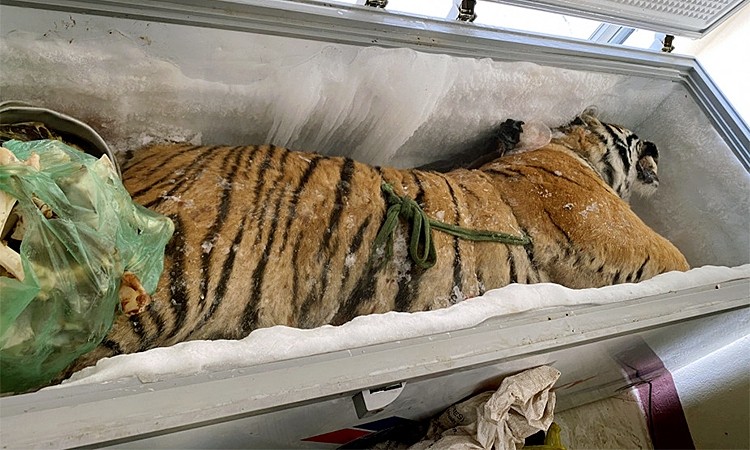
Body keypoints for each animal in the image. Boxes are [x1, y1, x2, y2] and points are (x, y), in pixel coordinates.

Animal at [60, 108, 689, 380]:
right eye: (633, 135)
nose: (658, 144)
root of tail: (136, 157)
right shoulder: (612, 226)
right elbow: (680, 260)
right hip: (165, 291)